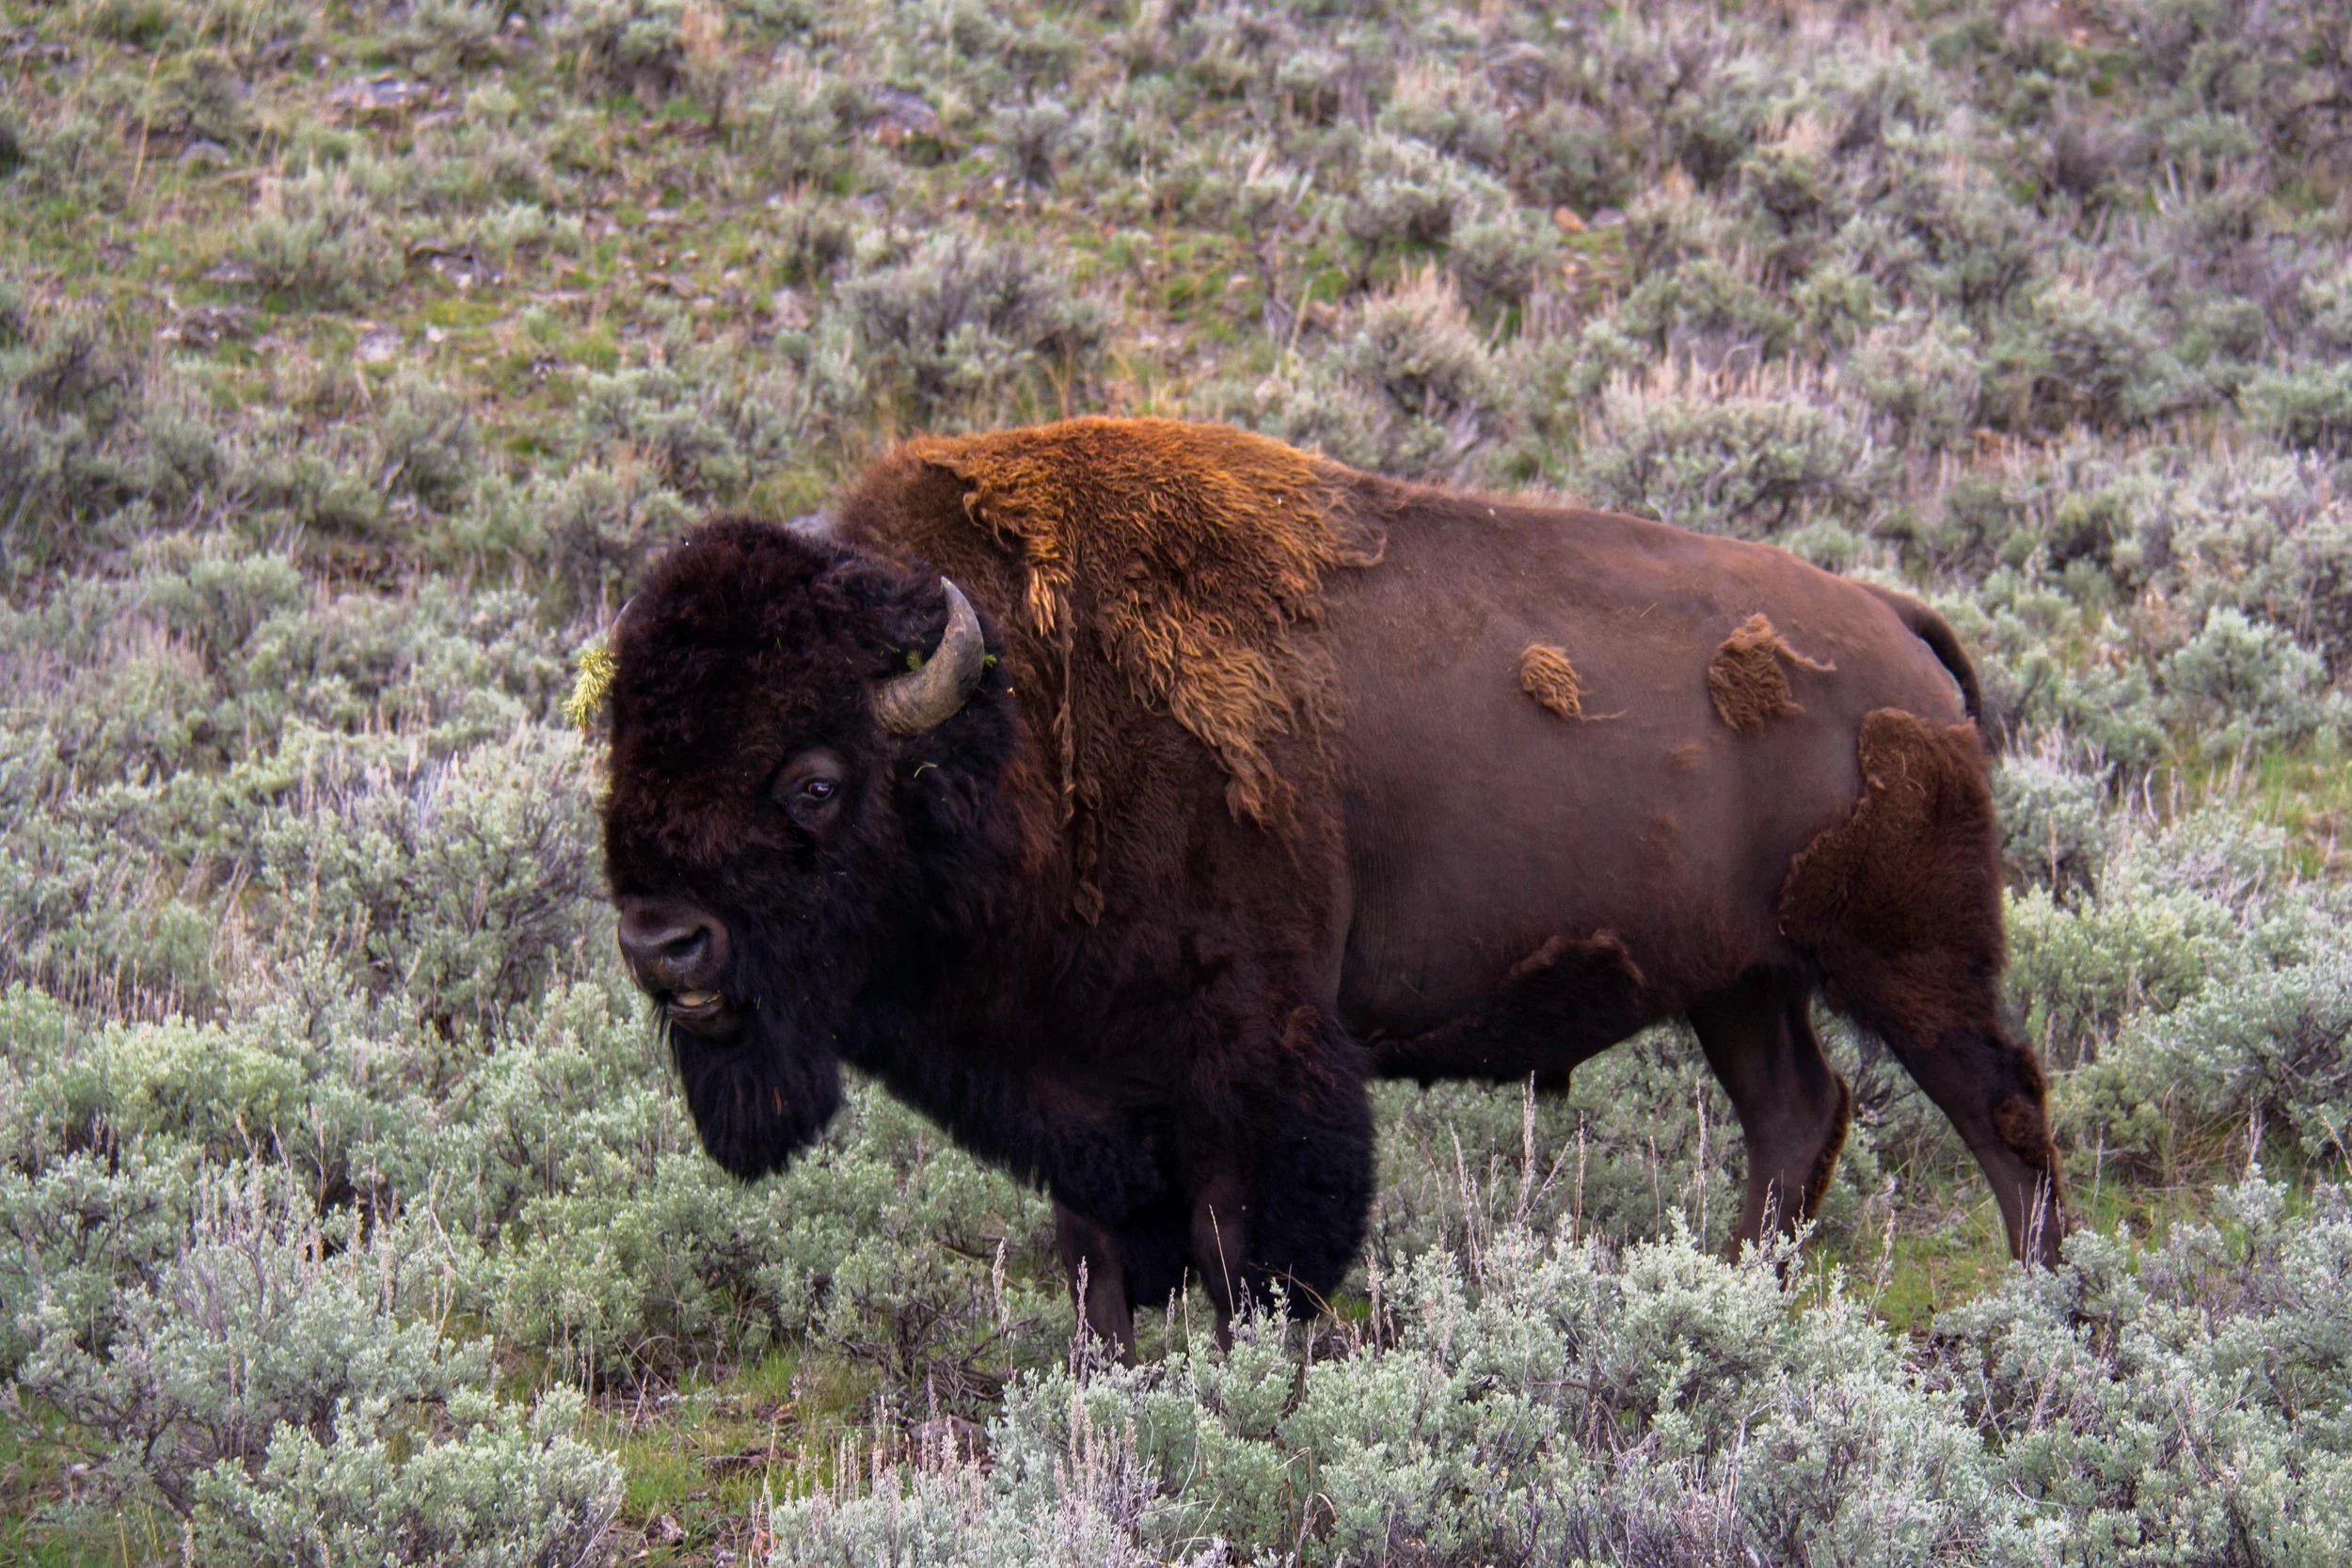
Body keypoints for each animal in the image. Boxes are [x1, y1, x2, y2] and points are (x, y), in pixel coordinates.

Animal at [595, 417, 2068, 1357]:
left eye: (812, 780)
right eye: (624, 753)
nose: (665, 943)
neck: (1013, 718)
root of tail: (1894, 623)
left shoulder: (1255, 1057)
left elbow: (1251, 1250)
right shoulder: (1083, 1086)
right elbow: (1095, 1260)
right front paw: (1102, 1387)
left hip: (1905, 954)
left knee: (2001, 1105)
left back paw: (2038, 1310)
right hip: (1740, 978)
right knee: (1795, 1116)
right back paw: (1724, 1297)